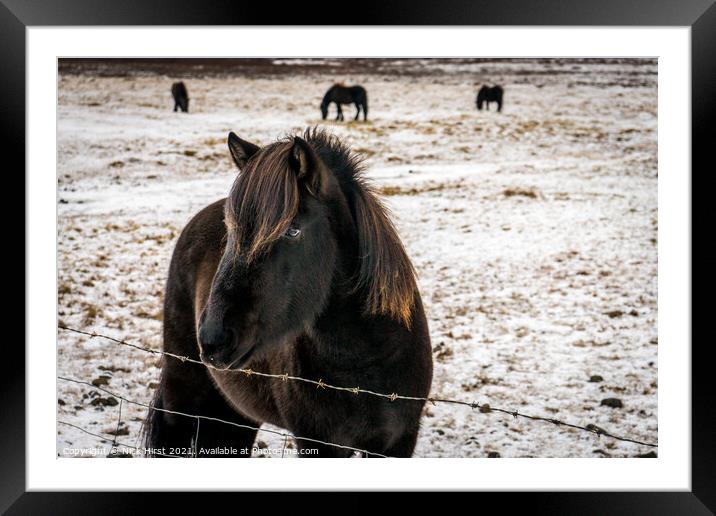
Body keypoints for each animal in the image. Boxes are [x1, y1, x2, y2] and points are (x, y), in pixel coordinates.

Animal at [146, 128, 434, 456]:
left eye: (292, 230)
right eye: (230, 230)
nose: (213, 338)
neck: (367, 363)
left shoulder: (399, 441)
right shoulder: (318, 442)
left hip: (234, 414)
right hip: (181, 393)